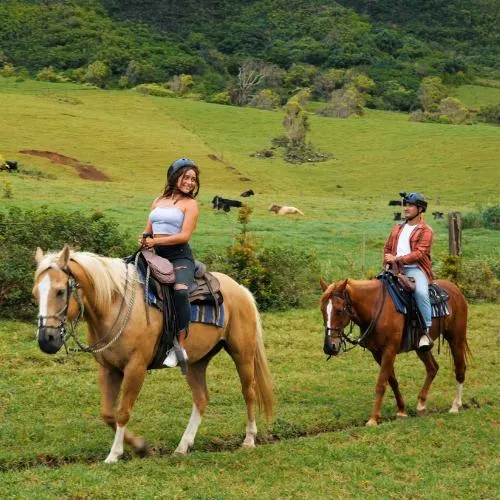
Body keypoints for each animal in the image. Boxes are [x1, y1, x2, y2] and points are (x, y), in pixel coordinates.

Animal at [31, 247, 274, 464]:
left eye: (60, 291)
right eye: (35, 293)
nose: (46, 340)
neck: (115, 304)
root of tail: (241, 289)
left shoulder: (135, 368)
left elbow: (123, 412)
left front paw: (114, 455)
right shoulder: (108, 369)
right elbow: (108, 414)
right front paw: (141, 446)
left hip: (242, 354)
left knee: (249, 391)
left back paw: (249, 439)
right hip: (196, 362)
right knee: (201, 399)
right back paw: (182, 447)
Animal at [320, 278, 468, 426]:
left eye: (339, 310)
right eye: (322, 310)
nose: (329, 347)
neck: (375, 307)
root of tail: (455, 289)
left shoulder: (389, 350)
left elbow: (381, 384)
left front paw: (373, 419)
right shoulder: (377, 354)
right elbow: (392, 381)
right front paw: (401, 410)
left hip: (456, 339)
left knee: (460, 368)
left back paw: (455, 406)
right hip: (421, 348)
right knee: (433, 368)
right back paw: (421, 404)